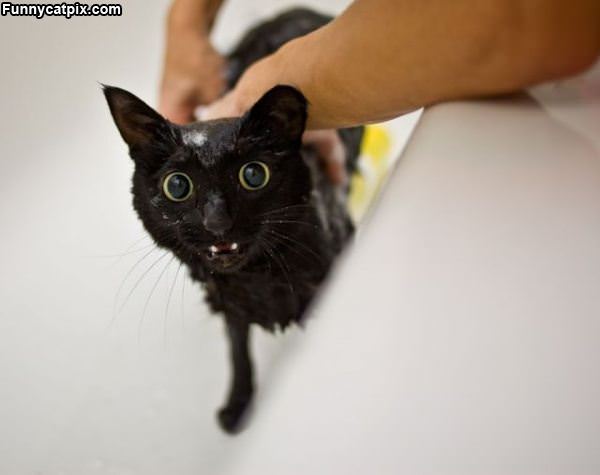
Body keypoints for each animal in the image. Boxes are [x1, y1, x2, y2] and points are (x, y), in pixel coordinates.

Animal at [104, 7, 360, 434]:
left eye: (253, 175)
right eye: (178, 185)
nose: (217, 221)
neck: (256, 280)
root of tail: (293, 10)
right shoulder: (229, 305)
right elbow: (237, 352)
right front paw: (238, 405)